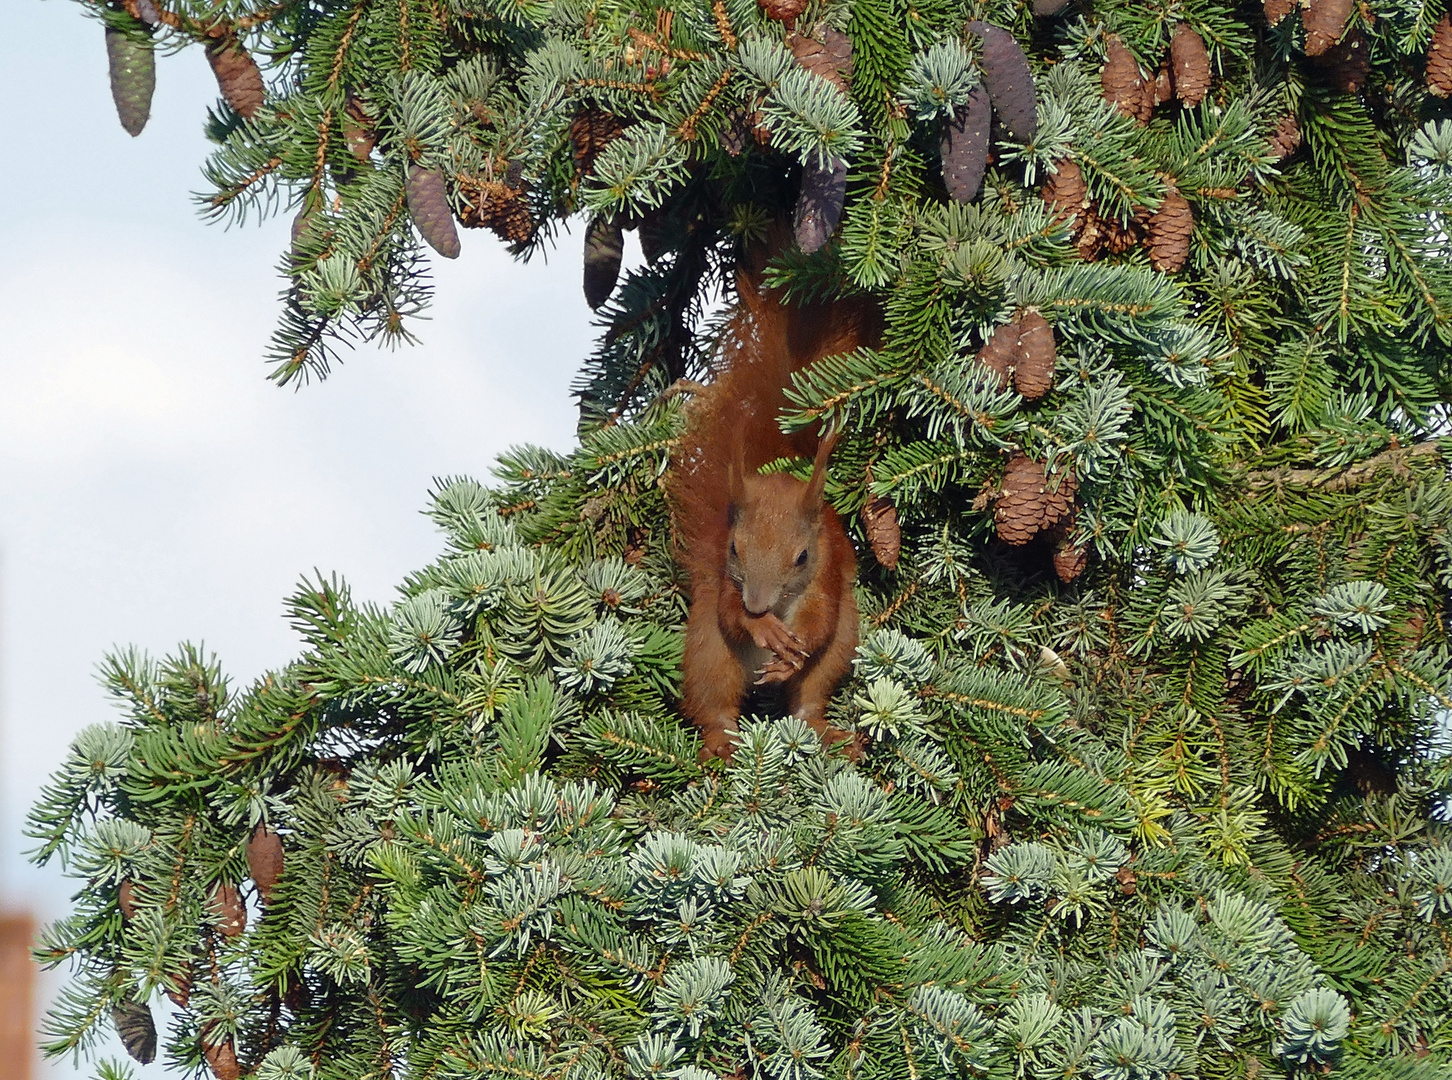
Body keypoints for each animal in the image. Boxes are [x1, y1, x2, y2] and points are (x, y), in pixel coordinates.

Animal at [673, 270, 877, 760]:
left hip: (841, 647)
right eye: (733, 548)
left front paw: (786, 649)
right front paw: (758, 625)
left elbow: (819, 622)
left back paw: (824, 730)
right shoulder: (726, 584)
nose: (759, 604)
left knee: (809, 695)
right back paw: (720, 740)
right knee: (714, 703)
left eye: (801, 557)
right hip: (709, 650)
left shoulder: (827, 571)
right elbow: (730, 612)